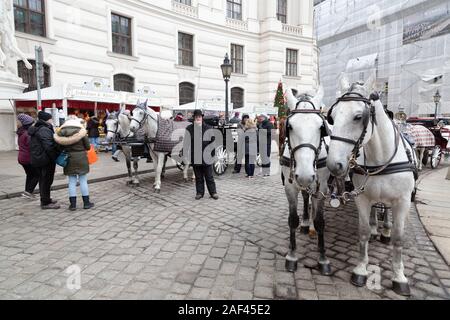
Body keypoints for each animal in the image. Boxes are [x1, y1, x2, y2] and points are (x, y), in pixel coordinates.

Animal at [282, 87, 334, 276]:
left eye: (321, 127)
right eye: (289, 126)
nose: (305, 175)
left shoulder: (322, 187)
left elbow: (320, 221)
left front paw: (323, 258)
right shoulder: (290, 185)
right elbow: (292, 220)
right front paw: (291, 256)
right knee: (305, 197)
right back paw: (305, 223)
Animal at [326, 73, 416, 298]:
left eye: (359, 117)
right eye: (332, 117)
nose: (334, 164)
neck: (381, 158)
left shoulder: (402, 201)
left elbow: (398, 239)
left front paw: (399, 276)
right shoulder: (363, 198)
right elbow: (364, 232)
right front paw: (361, 269)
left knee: (386, 212)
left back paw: (385, 231)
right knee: (377, 208)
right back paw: (377, 228)